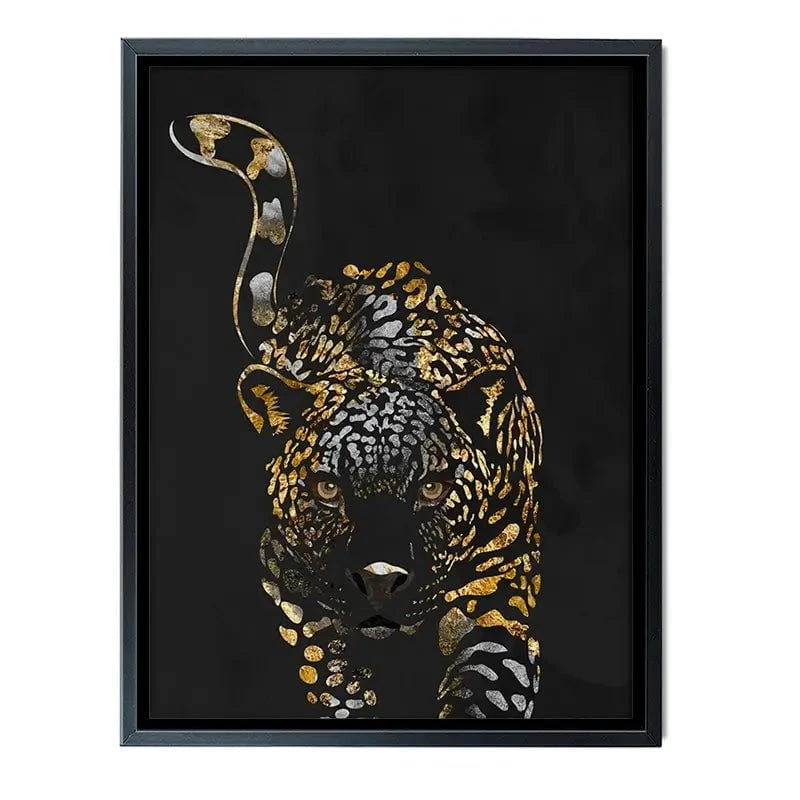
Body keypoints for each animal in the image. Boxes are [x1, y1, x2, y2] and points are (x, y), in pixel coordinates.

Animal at [171, 113, 543, 719]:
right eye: (327, 488)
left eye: (433, 488)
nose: (380, 579)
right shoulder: (297, 596)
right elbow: (336, 683)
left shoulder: (500, 595)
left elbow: (486, 690)